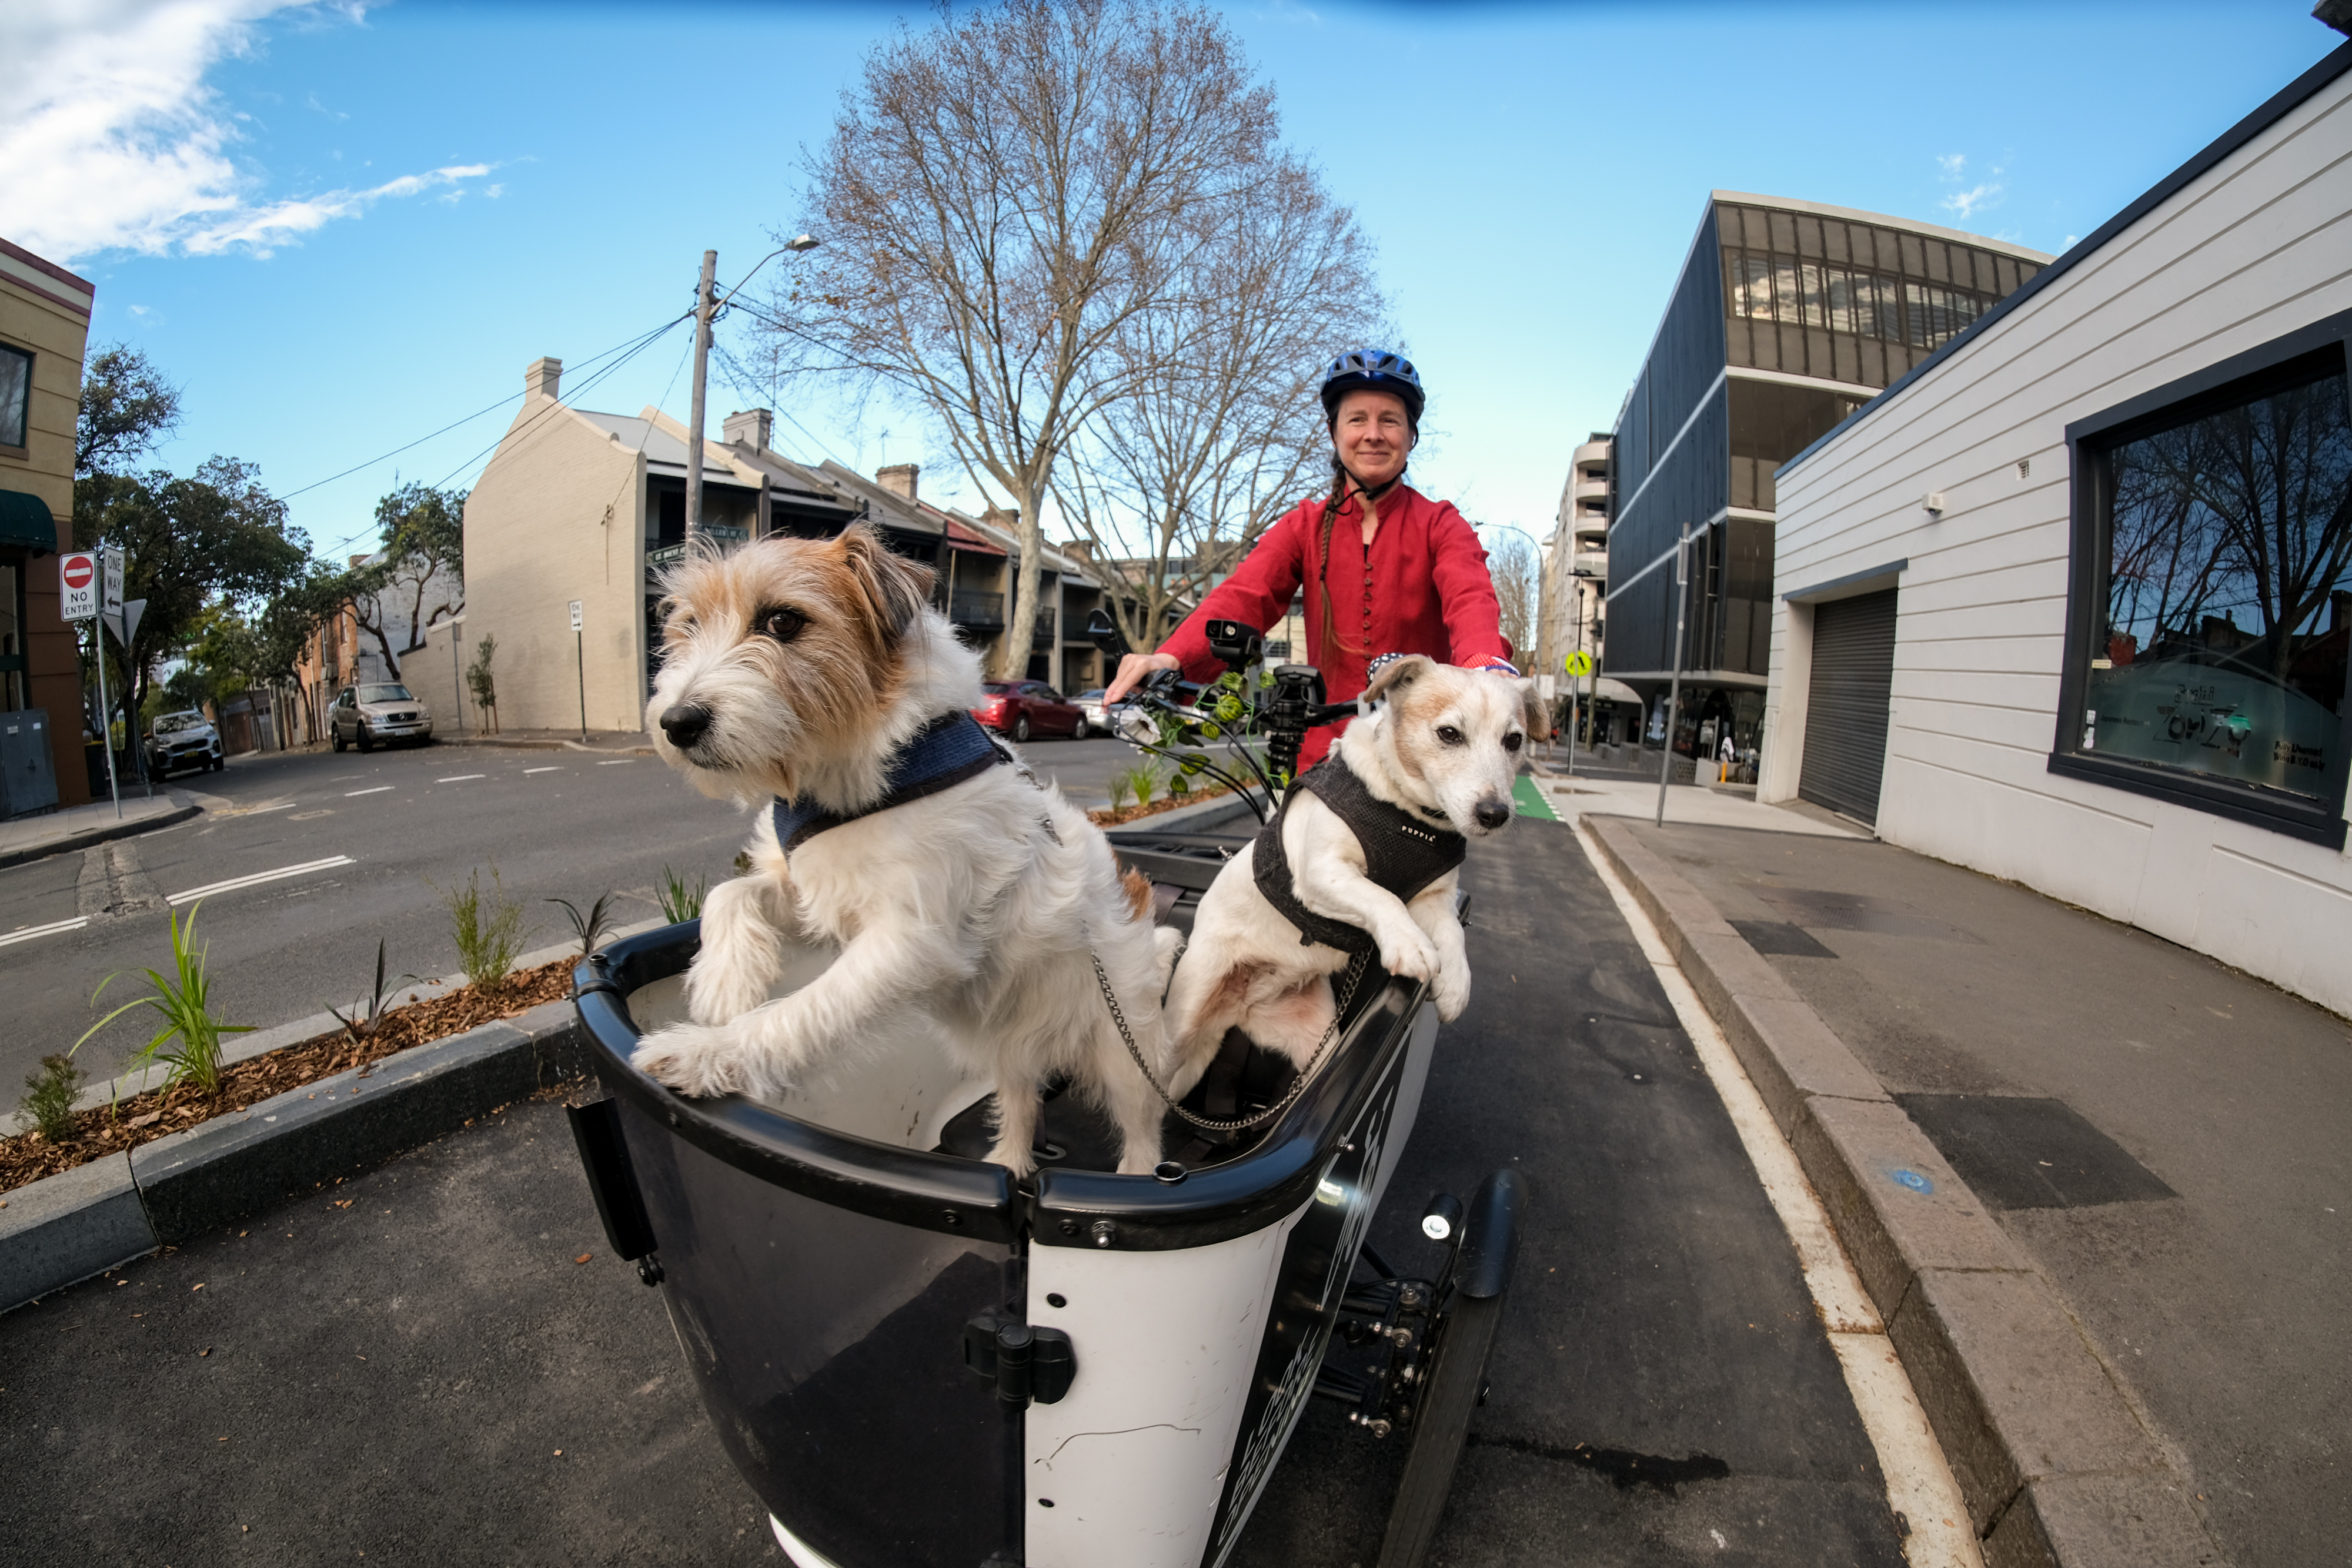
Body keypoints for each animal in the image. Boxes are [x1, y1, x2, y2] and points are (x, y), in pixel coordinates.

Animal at [626, 526, 1176, 1175]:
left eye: (783, 621)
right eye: (688, 623)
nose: (677, 722)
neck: (874, 769)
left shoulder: (910, 943)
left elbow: (801, 1012)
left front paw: (704, 1052)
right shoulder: (816, 896)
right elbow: (729, 892)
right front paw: (724, 981)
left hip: (1125, 1055)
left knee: (1144, 1132)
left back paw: (1136, 1176)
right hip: (1013, 1047)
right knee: (1019, 1103)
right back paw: (1008, 1163)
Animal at [1162, 658, 1543, 1105]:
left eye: (1514, 740)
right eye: (1449, 733)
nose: (1495, 814)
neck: (1409, 817)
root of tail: (1237, 1009)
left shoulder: (1435, 897)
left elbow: (1452, 932)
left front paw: (1456, 982)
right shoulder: (1320, 873)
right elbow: (1383, 898)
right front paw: (1411, 944)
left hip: (1317, 1045)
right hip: (1177, 1030)